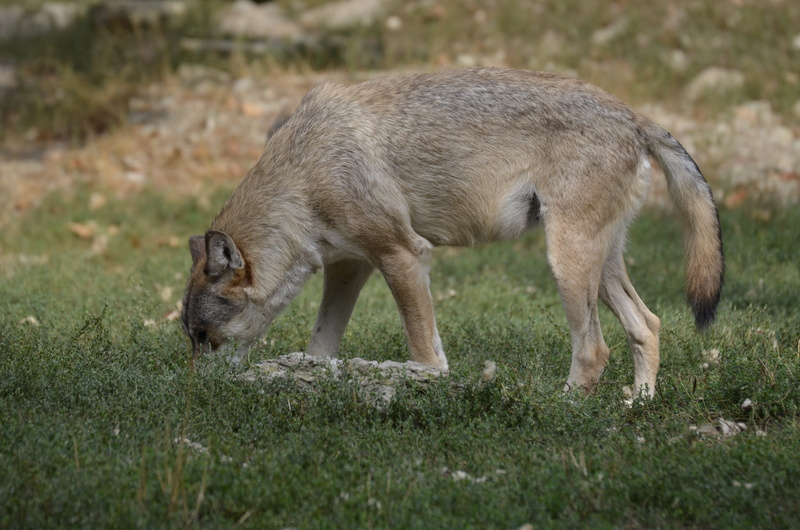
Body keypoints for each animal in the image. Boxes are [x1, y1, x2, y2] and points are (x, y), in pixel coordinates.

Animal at [181, 68, 723, 397]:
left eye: (206, 338)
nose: (194, 393)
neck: (305, 173)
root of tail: (633, 115)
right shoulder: (350, 267)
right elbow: (320, 347)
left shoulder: (402, 255)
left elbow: (426, 356)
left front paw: (426, 387)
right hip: (599, 266)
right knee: (648, 324)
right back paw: (637, 405)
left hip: (567, 263)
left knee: (594, 350)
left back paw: (563, 408)